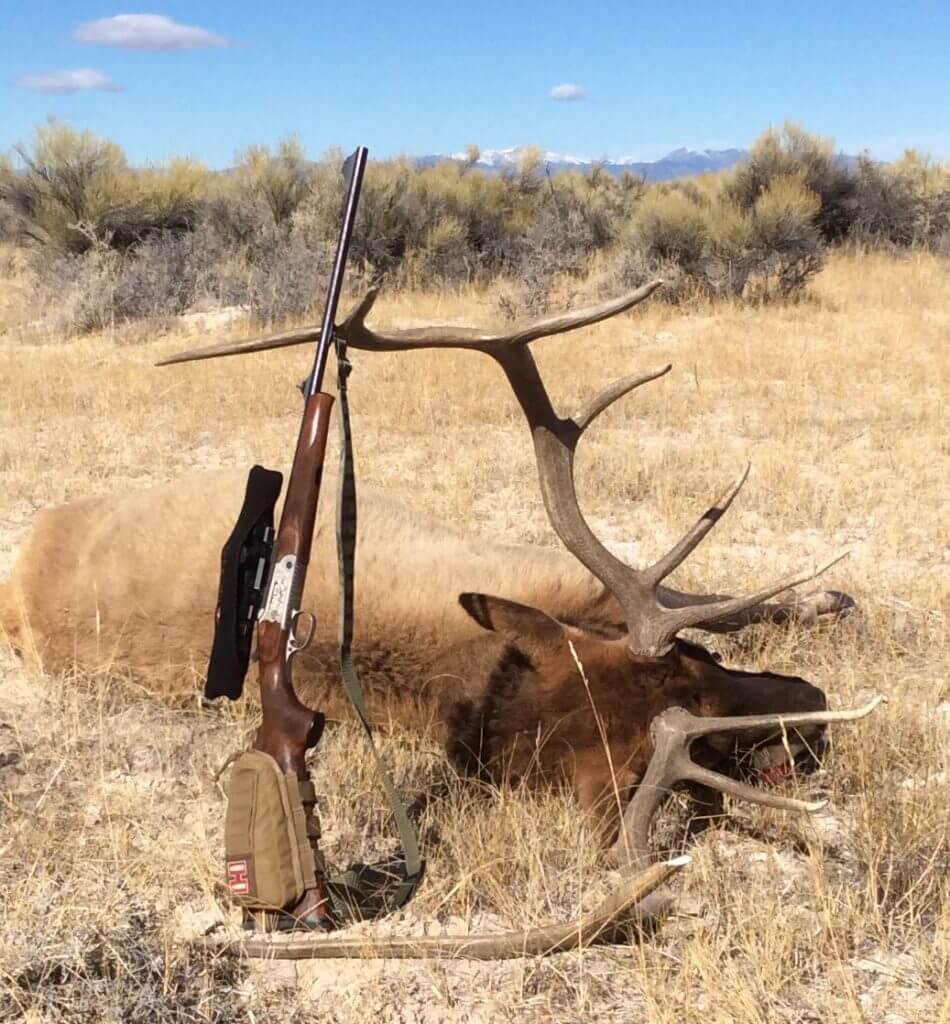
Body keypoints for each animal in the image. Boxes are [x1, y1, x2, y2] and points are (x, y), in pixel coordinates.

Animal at [1, 281, 879, 957]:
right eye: (696, 711)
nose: (813, 709)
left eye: (692, 660)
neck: (474, 677)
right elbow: (721, 593)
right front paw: (828, 598)